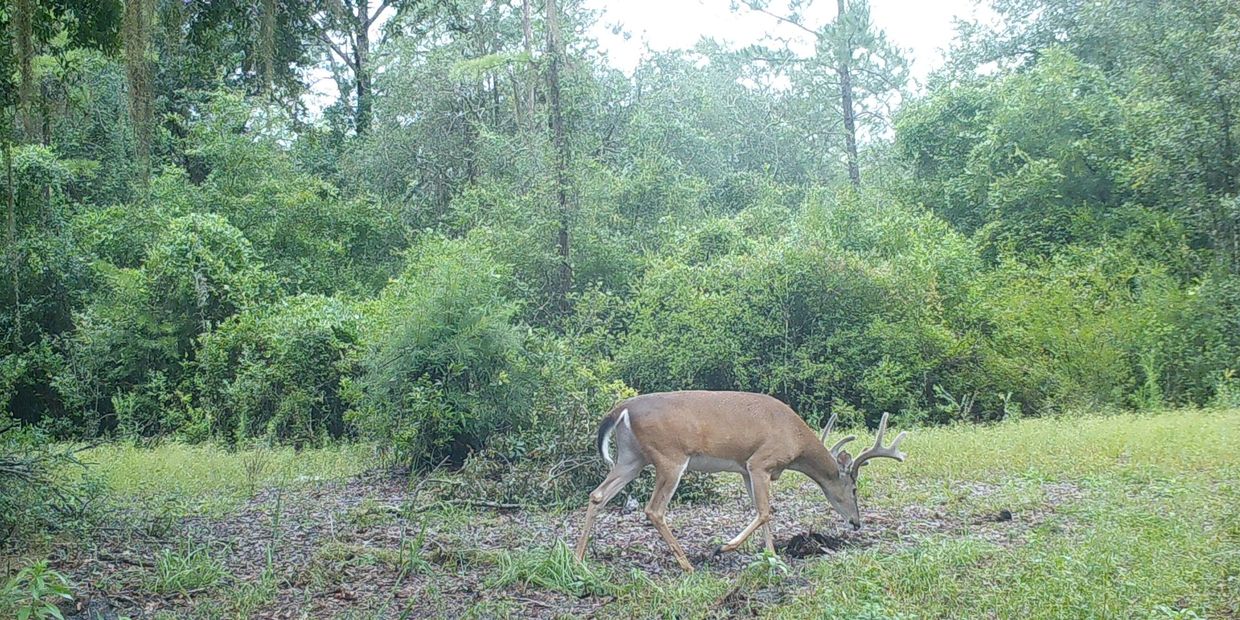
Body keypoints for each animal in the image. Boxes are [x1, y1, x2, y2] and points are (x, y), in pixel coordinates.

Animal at [573, 390, 908, 572]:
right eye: (855, 488)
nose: (857, 522)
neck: (796, 441)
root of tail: (620, 409)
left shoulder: (748, 470)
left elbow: (765, 512)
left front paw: (772, 557)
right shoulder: (760, 462)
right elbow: (765, 511)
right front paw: (724, 548)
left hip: (632, 457)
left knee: (597, 494)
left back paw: (577, 557)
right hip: (670, 457)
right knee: (654, 509)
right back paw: (687, 564)